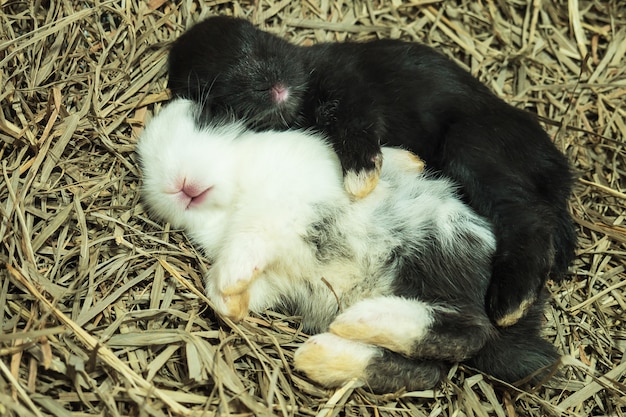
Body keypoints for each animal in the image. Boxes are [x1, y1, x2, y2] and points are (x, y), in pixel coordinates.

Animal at [136, 99, 556, 392]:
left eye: (205, 120)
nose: (178, 185)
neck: (234, 194)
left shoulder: (275, 208)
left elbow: (246, 242)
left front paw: (227, 285)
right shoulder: (272, 275)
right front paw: (229, 303)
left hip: (436, 247)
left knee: (471, 331)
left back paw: (357, 321)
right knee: (429, 369)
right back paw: (321, 355)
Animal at [167, 16, 576, 326]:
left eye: (256, 45)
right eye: (217, 93)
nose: (271, 86)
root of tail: (554, 166)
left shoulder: (349, 89)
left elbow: (356, 123)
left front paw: (361, 180)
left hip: (471, 147)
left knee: (529, 218)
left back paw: (509, 305)